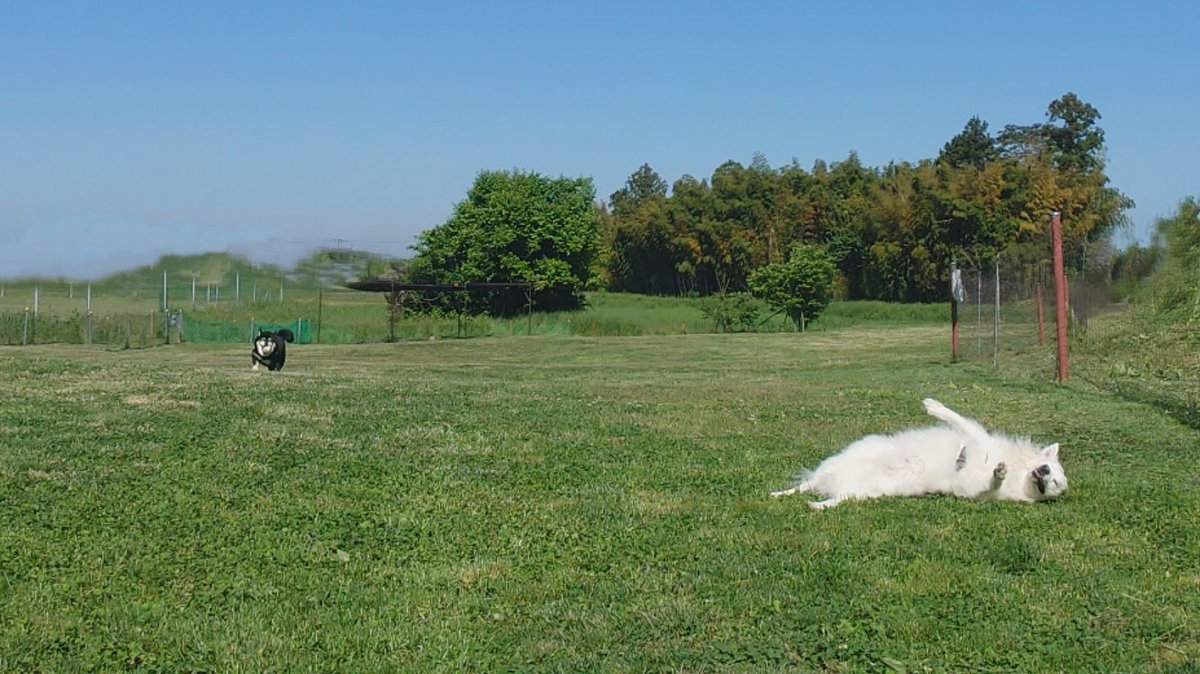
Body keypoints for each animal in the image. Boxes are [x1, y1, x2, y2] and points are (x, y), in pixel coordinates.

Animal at [768, 395, 1070, 506]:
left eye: (1055, 484)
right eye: (1051, 470)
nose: (1044, 471)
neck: (1019, 472)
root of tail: (833, 483)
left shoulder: (974, 489)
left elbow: (990, 483)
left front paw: (999, 473)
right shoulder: (977, 438)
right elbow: (957, 417)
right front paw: (933, 406)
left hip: (859, 493)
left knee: (832, 499)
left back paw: (818, 505)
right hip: (838, 464)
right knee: (804, 485)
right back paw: (780, 493)